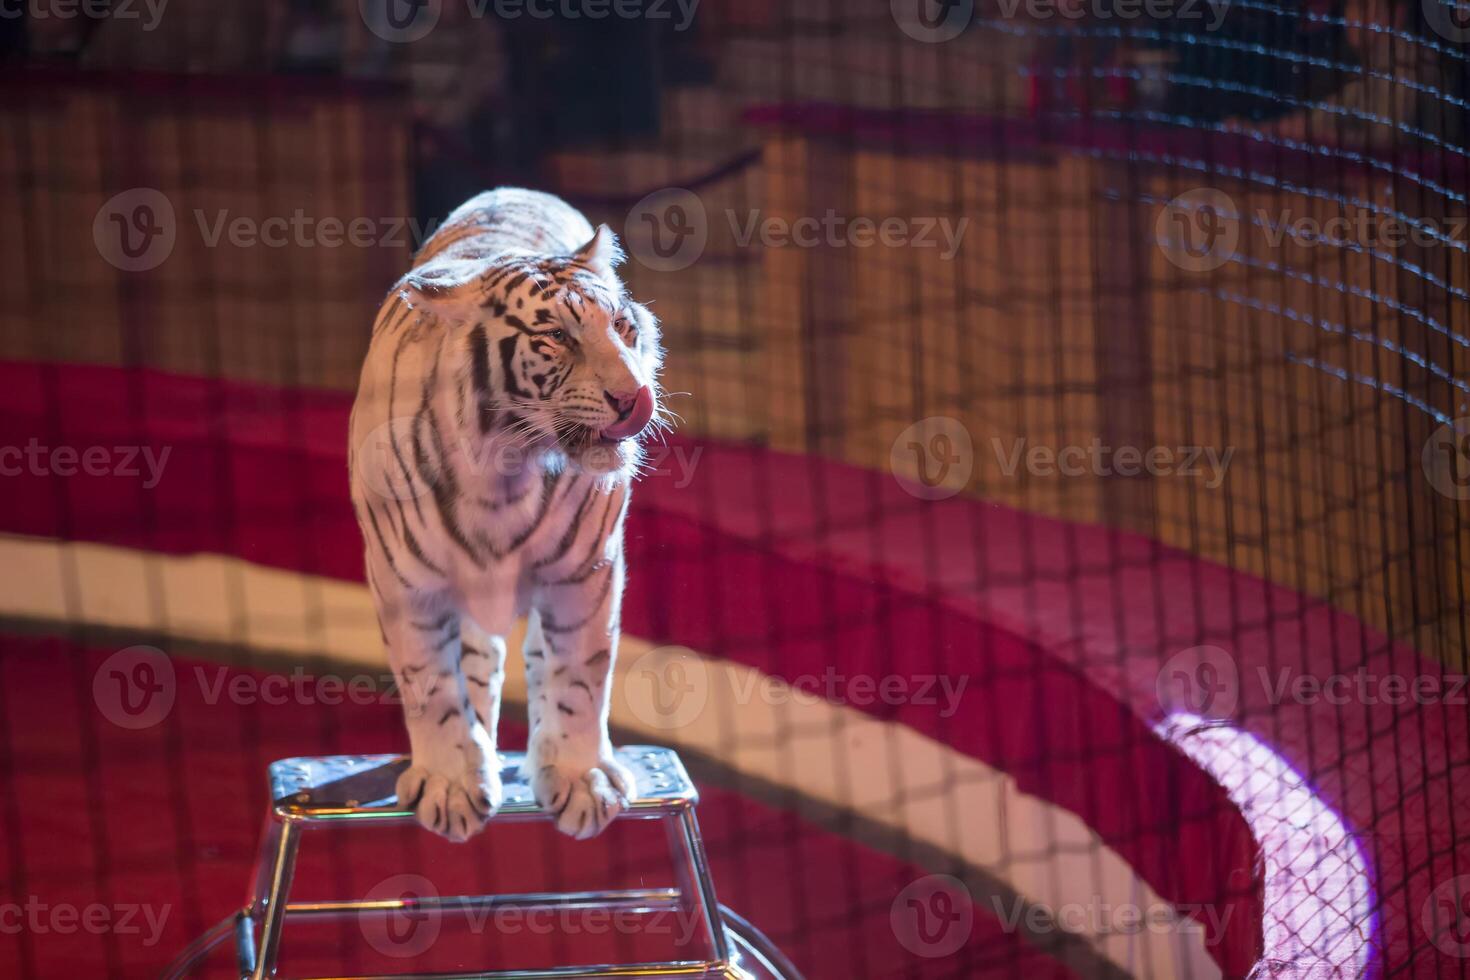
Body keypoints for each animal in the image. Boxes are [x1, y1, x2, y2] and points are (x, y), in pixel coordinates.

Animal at [346, 189, 664, 846]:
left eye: (623, 328)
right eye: (557, 337)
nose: (635, 397)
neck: (503, 469)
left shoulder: (585, 573)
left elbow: (581, 675)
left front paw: (581, 780)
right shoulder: (405, 582)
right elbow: (430, 683)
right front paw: (450, 785)